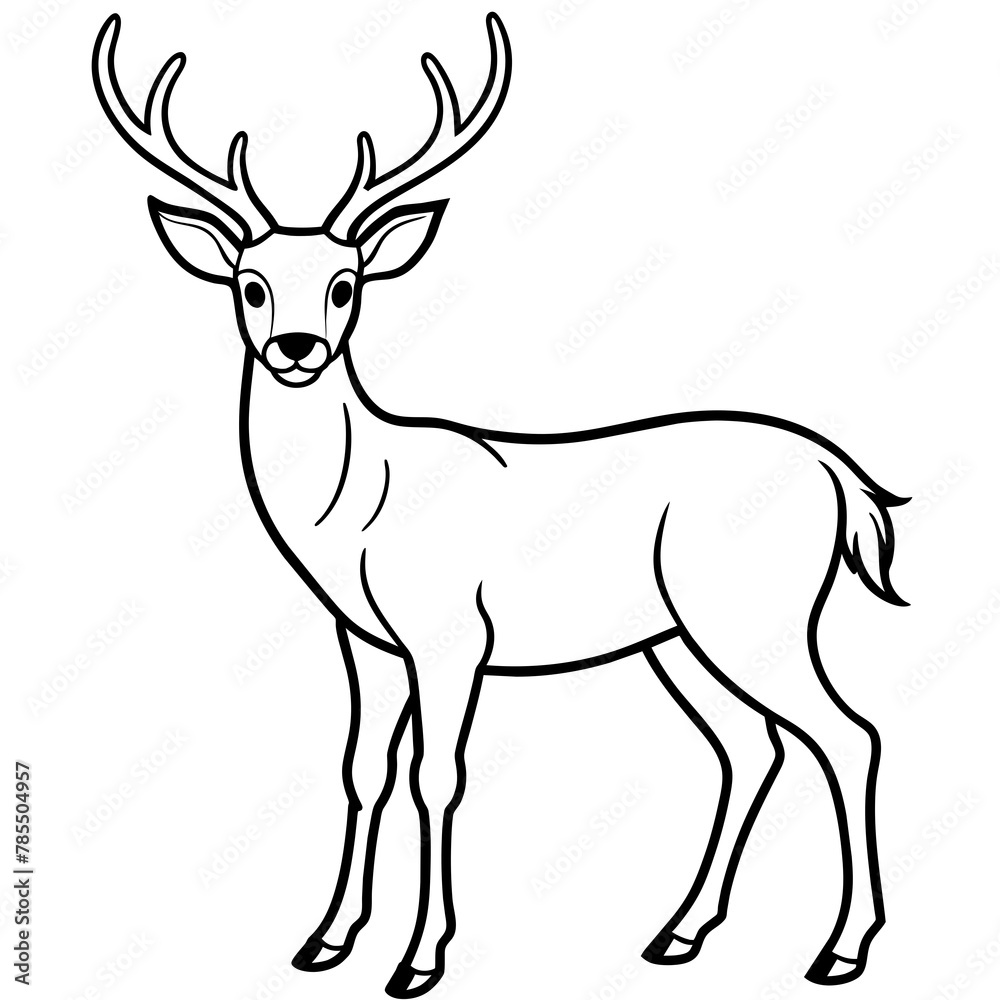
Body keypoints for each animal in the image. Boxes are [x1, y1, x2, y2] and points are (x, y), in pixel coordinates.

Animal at [93, 12, 907, 998]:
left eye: (344, 284)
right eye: (251, 284)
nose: (296, 347)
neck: (362, 507)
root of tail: (840, 475)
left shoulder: (451, 634)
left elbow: (437, 775)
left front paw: (419, 959)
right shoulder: (365, 639)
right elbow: (362, 769)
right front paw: (326, 939)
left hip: (758, 611)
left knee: (850, 735)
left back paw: (842, 949)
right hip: (677, 638)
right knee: (755, 748)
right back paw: (679, 934)